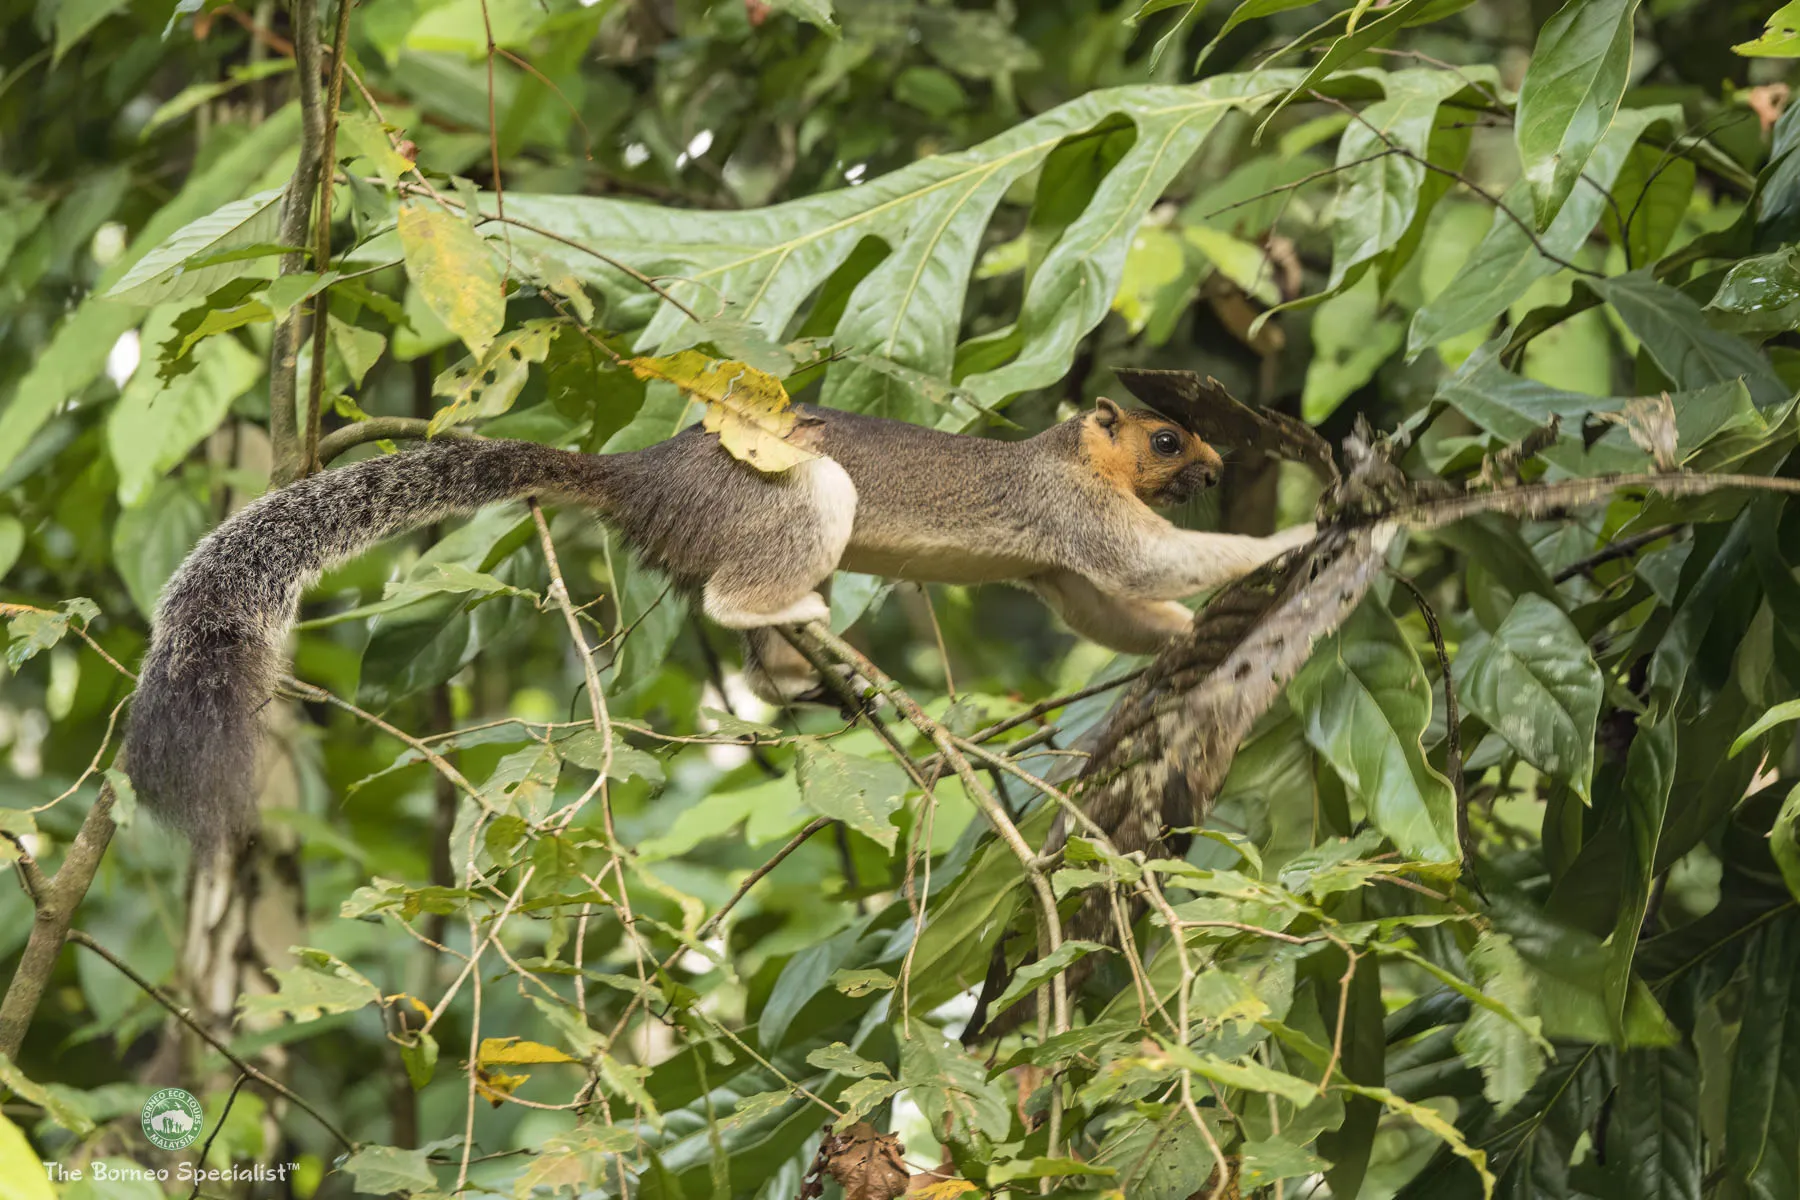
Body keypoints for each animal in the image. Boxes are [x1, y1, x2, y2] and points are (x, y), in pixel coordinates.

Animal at [123, 398, 1313, 846]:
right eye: (1167, 439)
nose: (1215, 473)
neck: (1072, 454)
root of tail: (641, 481)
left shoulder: (1062, 572)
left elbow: (1113, 603)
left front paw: (1186, 633)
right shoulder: (1076, 515)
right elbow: (1143, 558)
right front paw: (1294, 539)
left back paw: (798, 673)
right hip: (788, 498)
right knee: (735, 592)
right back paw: (797, 613)